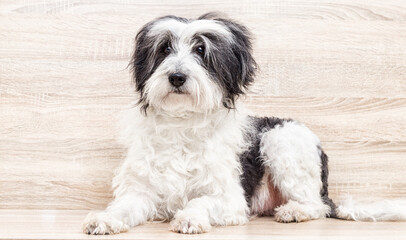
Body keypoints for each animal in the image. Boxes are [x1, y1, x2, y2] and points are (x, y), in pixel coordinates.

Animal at [81, 13, 406, 234]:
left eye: (201, 50)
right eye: (164, 49)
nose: (176, 77)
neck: (183, 125)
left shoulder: (230, 199)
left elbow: (200, 201)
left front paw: (190, 217)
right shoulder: (141, 191)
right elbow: (123, 206)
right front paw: (104, 218)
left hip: (282, 141)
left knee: (318, 206)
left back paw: (294, 211)